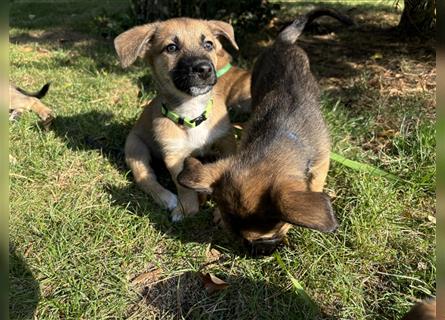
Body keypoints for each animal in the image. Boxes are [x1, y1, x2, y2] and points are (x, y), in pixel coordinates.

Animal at [114, 18, 246, 221]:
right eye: (171, 48)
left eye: (208, 44)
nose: (204, 69)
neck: (192, 113)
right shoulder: (174, 155)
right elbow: (183, 186)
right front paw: (186, 209)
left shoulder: (227, 142)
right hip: (135, 148)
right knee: (145, 178)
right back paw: (167, 198)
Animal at [177, 13, 336, 255]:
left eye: (271, 236)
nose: (250, 253)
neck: (281, 133)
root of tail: (282, 42)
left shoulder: (321, 162)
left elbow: (316, 184)